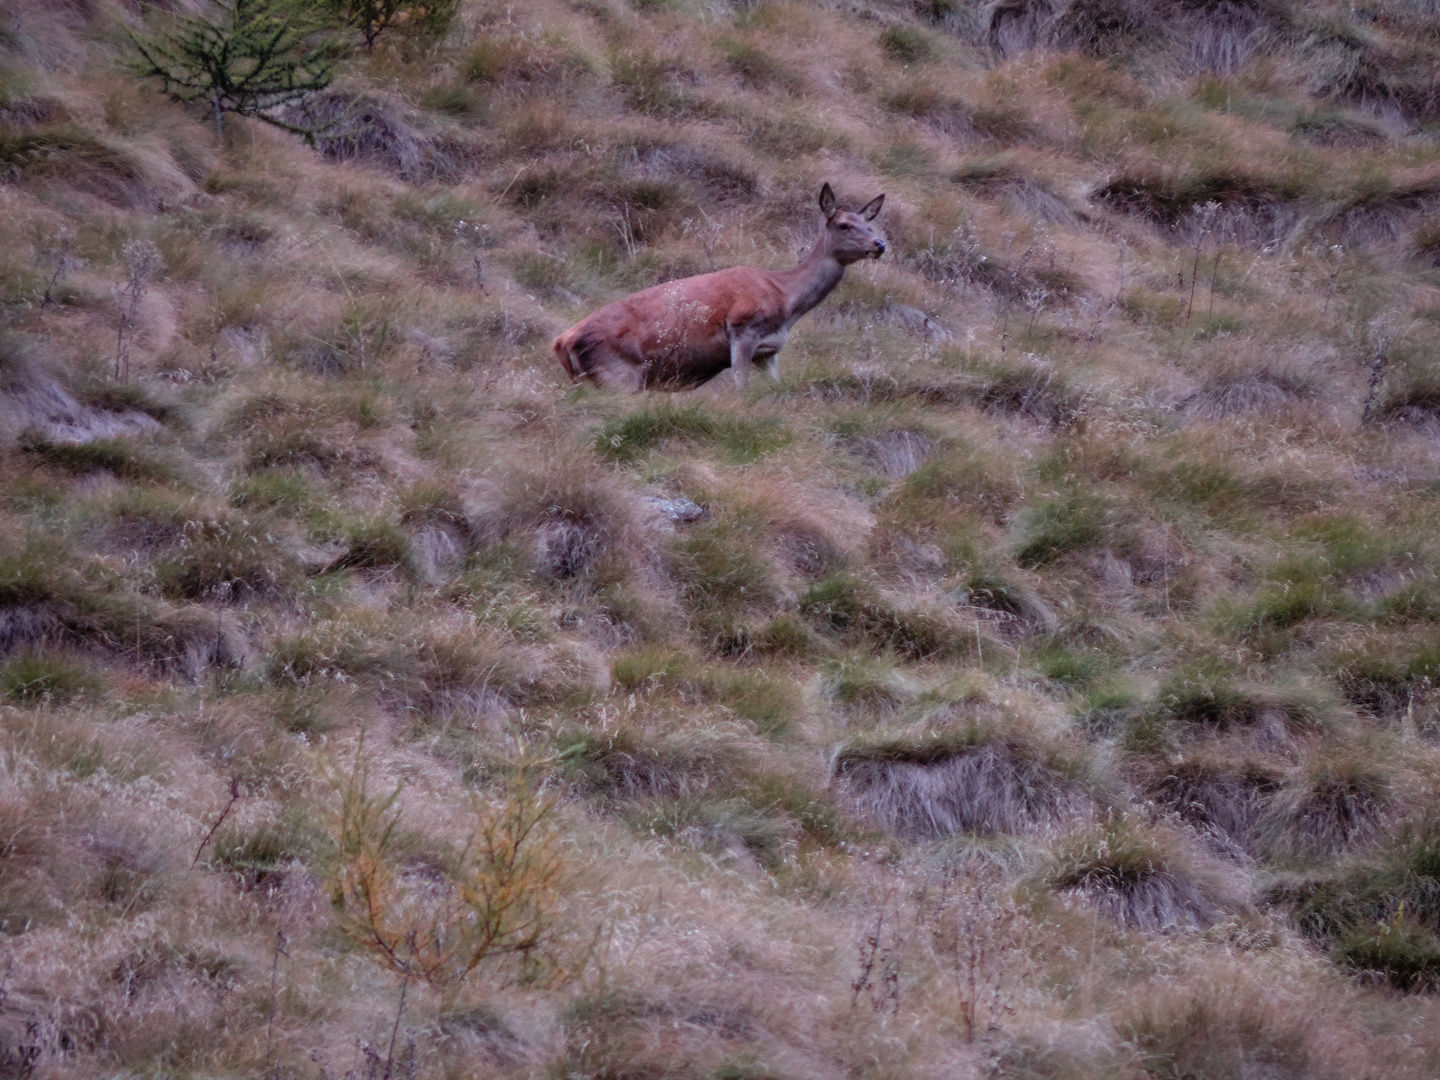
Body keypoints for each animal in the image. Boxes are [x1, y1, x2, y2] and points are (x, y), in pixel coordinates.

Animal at [552, 184, 881, 391]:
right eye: (844, 225)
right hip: (618, 374)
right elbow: (742, 389)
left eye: (870, 225)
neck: (786, 299)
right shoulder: (742, 328)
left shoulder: (769, 351)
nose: (880, 244)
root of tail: (563, 341)